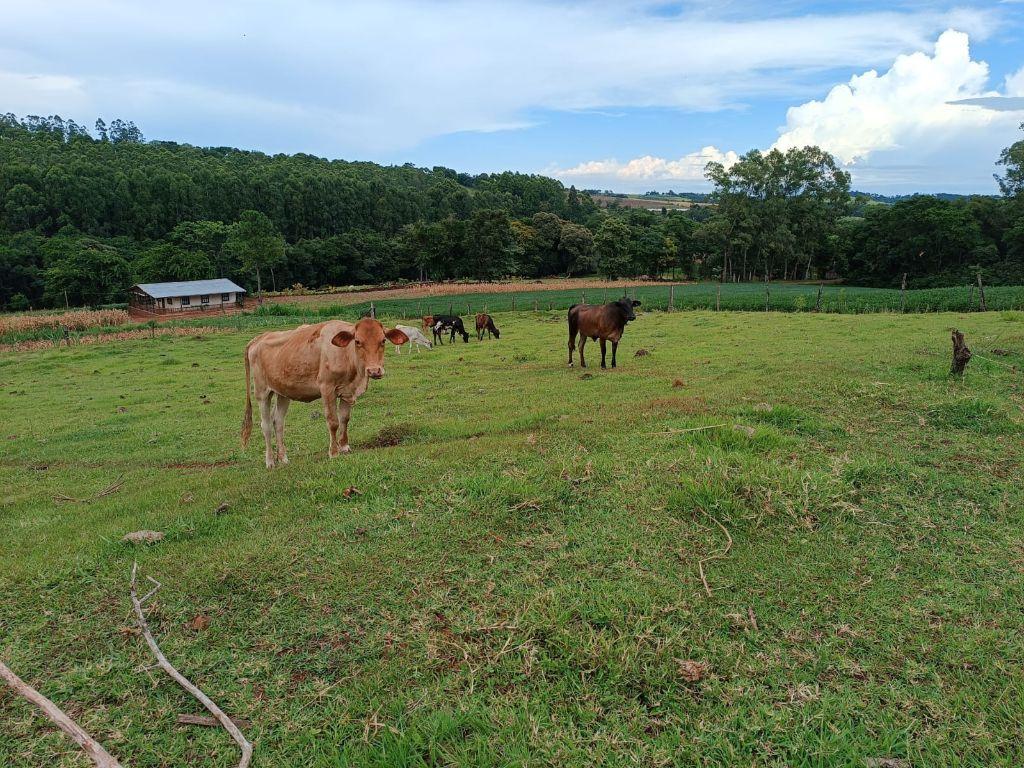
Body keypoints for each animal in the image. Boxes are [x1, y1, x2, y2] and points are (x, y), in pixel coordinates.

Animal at [242, 319, 407, 468]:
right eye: (358, 341)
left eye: (383, 340)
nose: (374, 370)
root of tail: (259, 338)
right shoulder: (327, 388)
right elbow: (333, 422)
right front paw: (334, 452)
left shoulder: (348, 391)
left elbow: (344, 418)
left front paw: (345, 446)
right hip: (262, 392)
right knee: (266, 425)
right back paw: (270, 462)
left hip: (283, 392)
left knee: (278, 422)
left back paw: (283, 458)